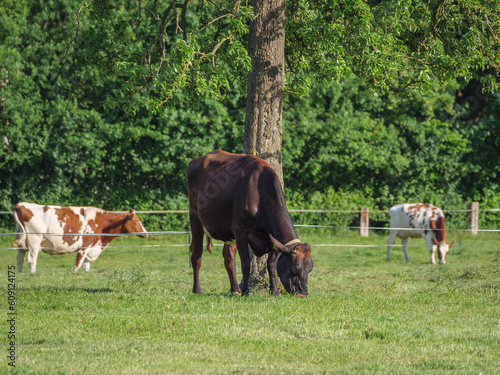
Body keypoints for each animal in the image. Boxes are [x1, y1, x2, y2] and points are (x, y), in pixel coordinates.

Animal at [11, 203, 147, 274]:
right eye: (136, 220)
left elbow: (86, 266)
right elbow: (77, 265)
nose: (146, 233)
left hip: (22, 242)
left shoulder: (90, 248)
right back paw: (33, 274)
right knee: (31, 259)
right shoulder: (84, 247)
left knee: (19, 259)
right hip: (34, 241)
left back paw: (20, 273)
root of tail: (22, 204)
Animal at [188, 149, 312, 296]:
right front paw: (246, 291)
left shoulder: (272, 235)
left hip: (228, 231)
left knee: (229, 258)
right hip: (195, 217)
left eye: (310, 269)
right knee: (196, 255)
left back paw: (235, 289)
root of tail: (197, 159)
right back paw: (197, 289)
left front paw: (274, 291)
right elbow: (247, 263)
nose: (302, 293)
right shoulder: (240, 230)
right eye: (294, 268)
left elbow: (271, 265)